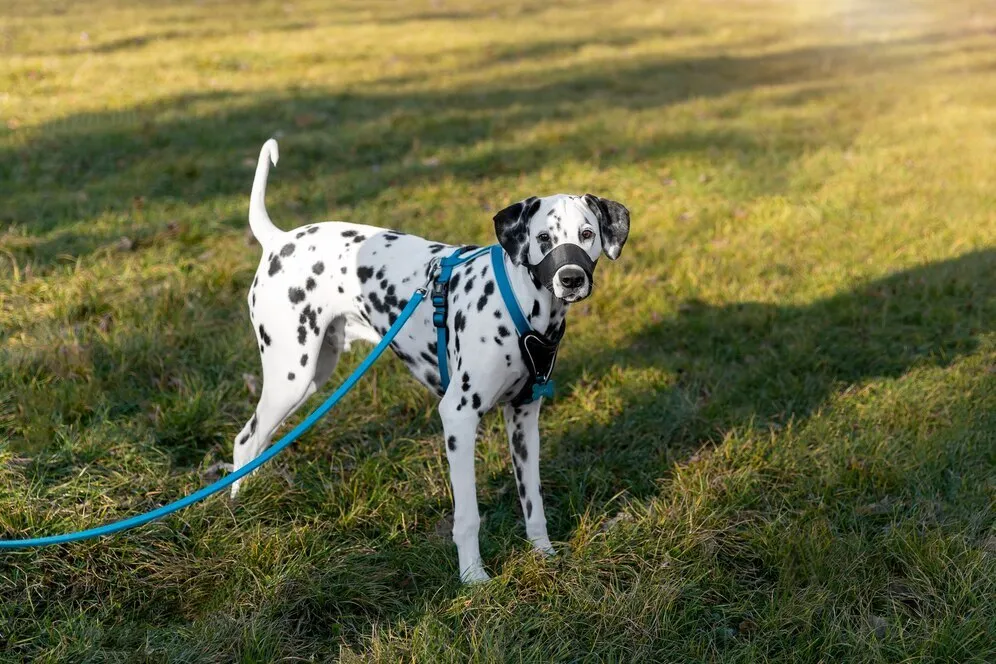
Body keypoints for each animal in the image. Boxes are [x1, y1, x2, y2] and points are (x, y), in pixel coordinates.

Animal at [231, 139, 632, 580]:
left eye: (587, 234)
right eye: (543, 237)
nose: (571, 278)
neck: (522, 303)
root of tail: (278, 240)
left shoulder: (524, 418)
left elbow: (533, 501)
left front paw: (543, 553)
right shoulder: (458, 416)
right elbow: (468, 516)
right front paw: (474, 578)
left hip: (313, 374)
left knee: (258, 441)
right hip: (291, 377)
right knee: (245, 440)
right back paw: (238, 508)